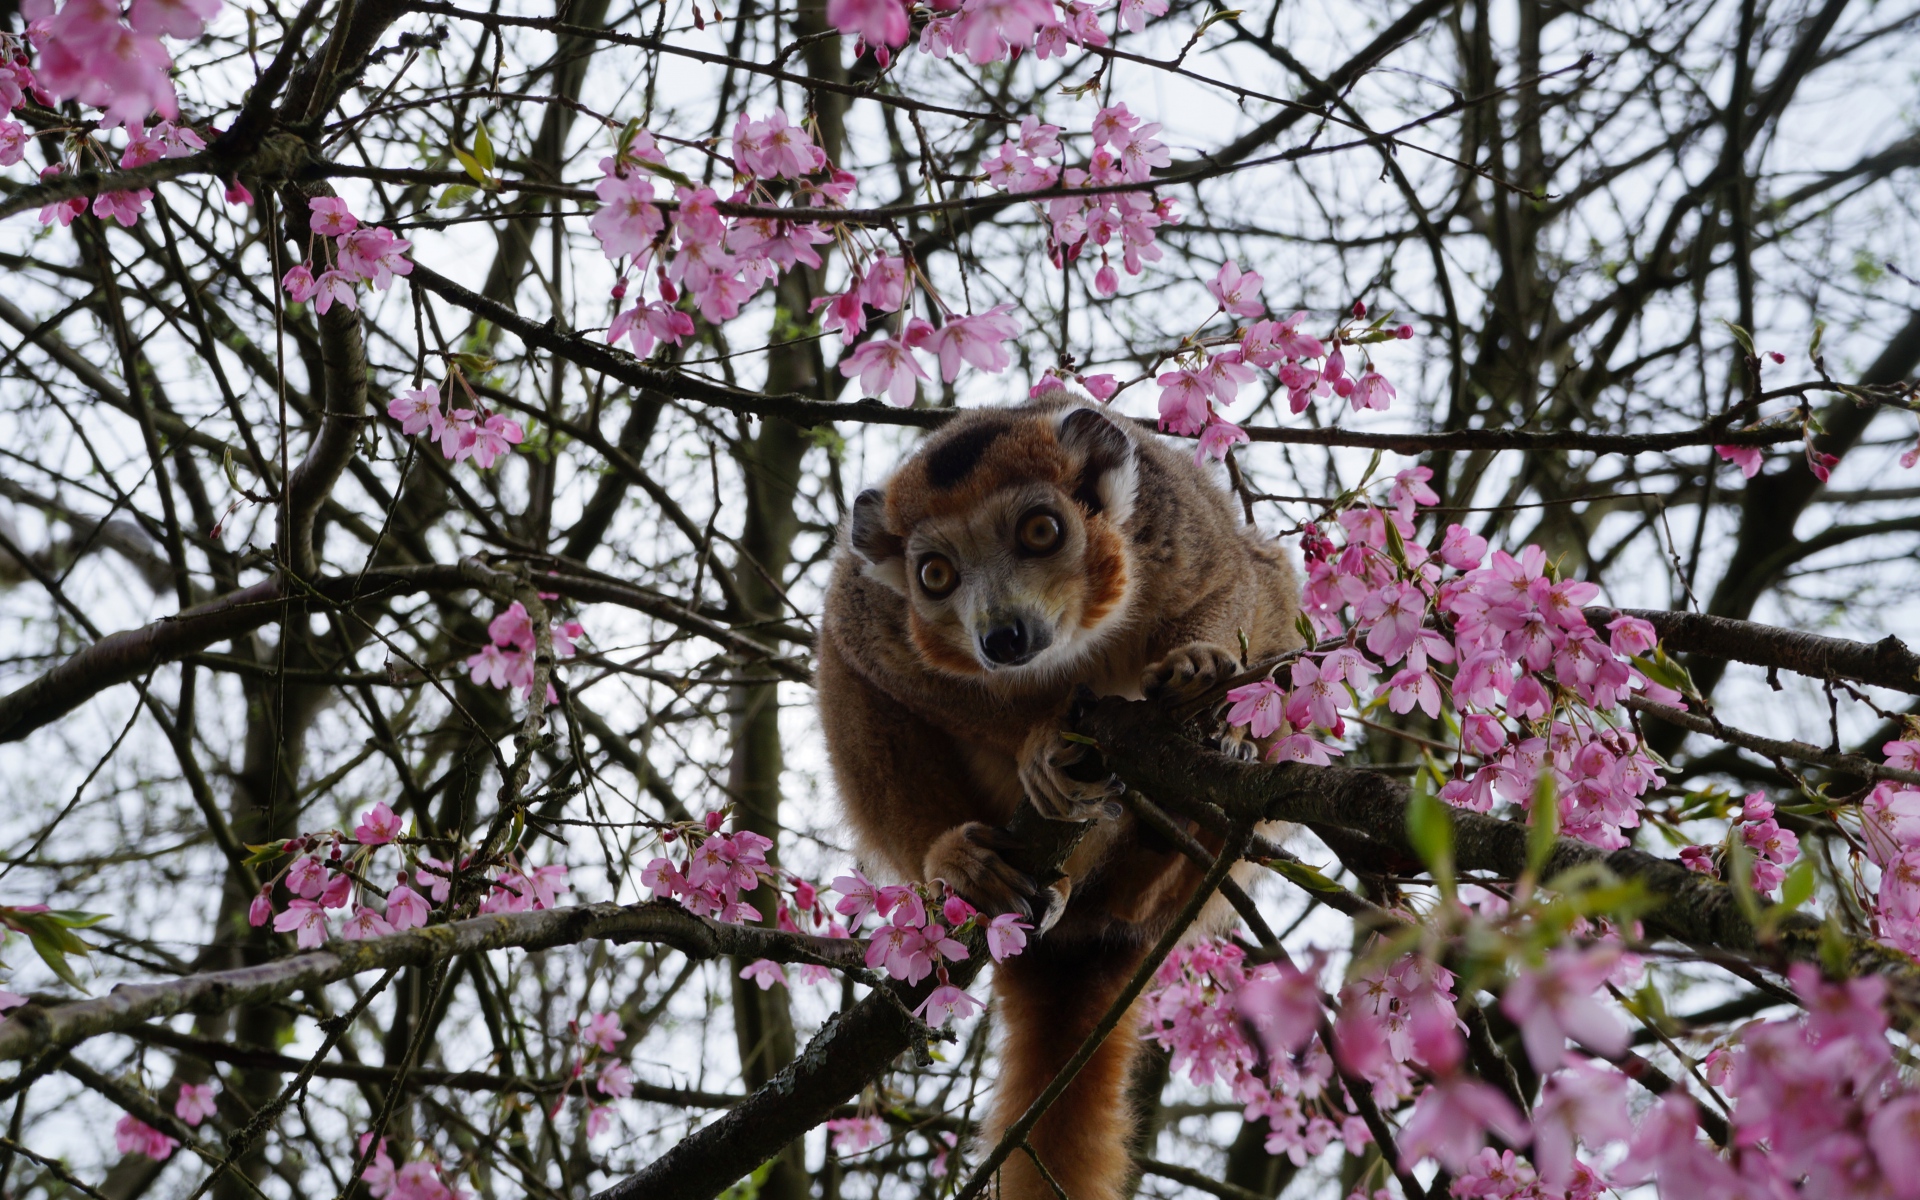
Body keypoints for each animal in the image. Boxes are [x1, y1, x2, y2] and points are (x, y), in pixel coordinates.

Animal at [816, 387, 1302, 1200]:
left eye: (1040, 531)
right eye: (936, 575)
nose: (1002, 636)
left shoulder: (1174, 526)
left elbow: (1244, 581)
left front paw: (1198, 664)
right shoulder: (872, 610)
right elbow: (870, 655)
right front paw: (1039, 741)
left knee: (1283, 653)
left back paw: (1169, 831)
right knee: (846, 677)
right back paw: (960, 862)